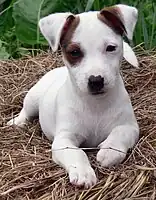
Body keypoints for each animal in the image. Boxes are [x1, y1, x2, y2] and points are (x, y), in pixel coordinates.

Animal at [7, 4, 139, 189]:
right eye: (75, 52)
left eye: (111, 48)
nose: (96, 81)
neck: (95, 104)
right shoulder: (63, 140)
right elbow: (76, 153)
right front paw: (83, 172)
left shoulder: (130, 127)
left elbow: (120, 133)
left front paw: (109, 151)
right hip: (32, 98)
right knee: (26, 111)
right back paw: (17, 122)